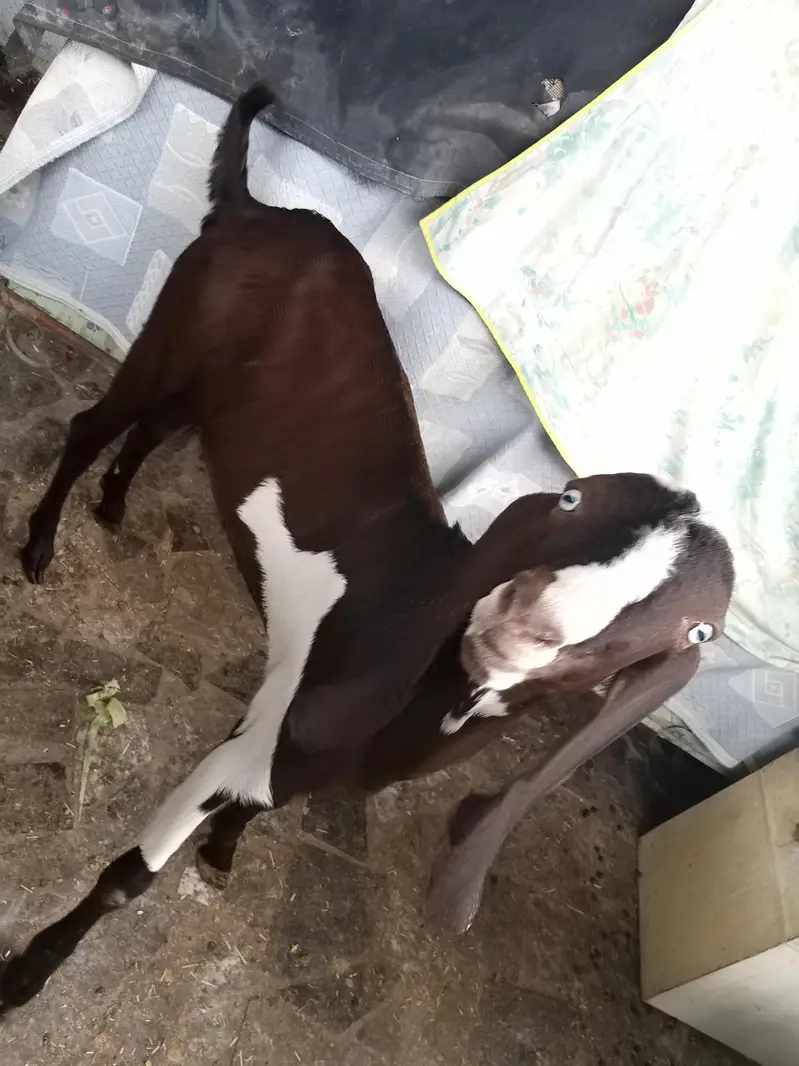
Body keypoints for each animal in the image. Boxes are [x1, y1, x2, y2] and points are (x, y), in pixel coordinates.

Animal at [0, 84, 734, 1013]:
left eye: (698, 631)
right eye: (570, 497)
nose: (526, 620)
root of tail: (257, 209)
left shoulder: (309, 754)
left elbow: (262, 806)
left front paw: (224, 849)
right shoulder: (268, 728)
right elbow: (134, 874)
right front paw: (25, 977)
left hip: (216, 389)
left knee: (159, 426)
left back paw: (114, 503)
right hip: (176, 331)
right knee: (96, 423)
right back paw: (41, 543)